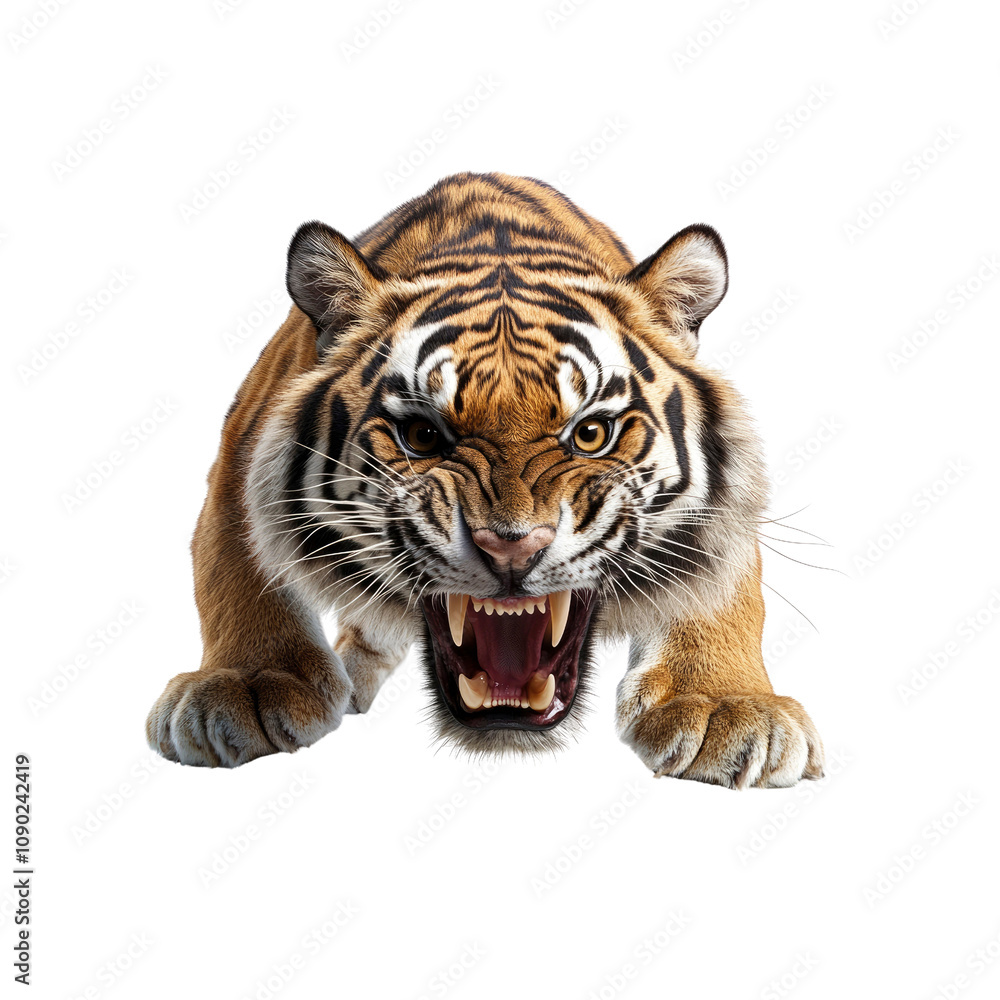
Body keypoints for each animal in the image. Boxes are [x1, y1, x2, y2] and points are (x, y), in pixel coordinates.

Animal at [145, 171, 824, 788]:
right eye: (422, 436)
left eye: (590, 433)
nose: (511, 548)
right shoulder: (243, 452)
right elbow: (237, 568)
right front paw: (248, 685)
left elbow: (720, 588)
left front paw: (723, 706)